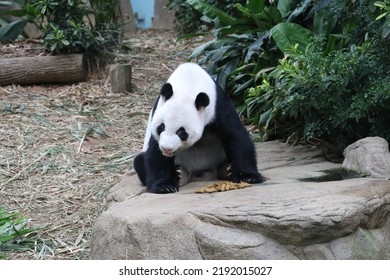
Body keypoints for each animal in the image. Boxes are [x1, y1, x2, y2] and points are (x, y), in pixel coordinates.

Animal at [133, 62, 264, 194]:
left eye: (181, 132)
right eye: (161, 127)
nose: (166, 149)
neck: (188, 86)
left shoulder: (218, 106)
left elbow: (235, 136)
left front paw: (248, 176)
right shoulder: (158, 112)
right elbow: (155, 152)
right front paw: (164, 186)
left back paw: (228, 169)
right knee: (139, 160)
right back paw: (179, 175)